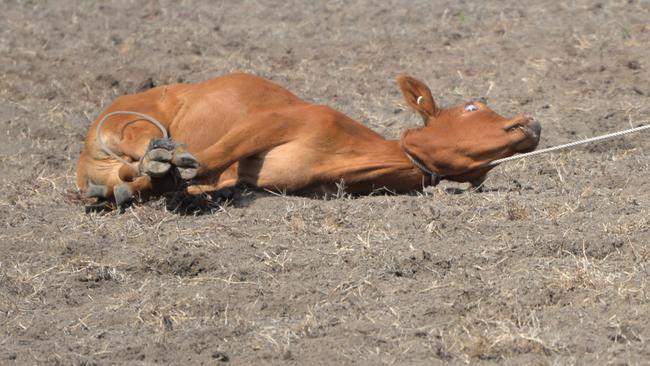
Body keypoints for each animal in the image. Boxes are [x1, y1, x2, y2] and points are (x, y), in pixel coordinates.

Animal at [76, 73, 540, 209]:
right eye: (474, 107)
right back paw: (151, 161)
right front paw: (170, 170)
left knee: (122, 178)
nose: (530, 122)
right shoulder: (275, 122)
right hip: (133, 122)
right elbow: (206, 159)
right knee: (143, 147)